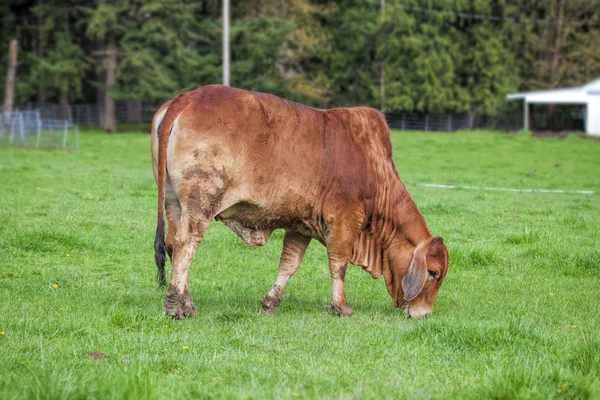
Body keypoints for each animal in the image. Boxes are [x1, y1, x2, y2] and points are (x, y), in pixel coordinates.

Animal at [152, 84, 448, 318]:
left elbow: (289, 264)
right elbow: (339, 265)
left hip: (173, 201)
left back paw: (187, 303)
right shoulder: (345, 220)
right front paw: (341, 307)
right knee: (185, 244)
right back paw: (175, 306)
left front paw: (270, 303)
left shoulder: (300, 225)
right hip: (201, 201)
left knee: (171, 243)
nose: (424, 314)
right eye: (433, 272)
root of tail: (187, 98)